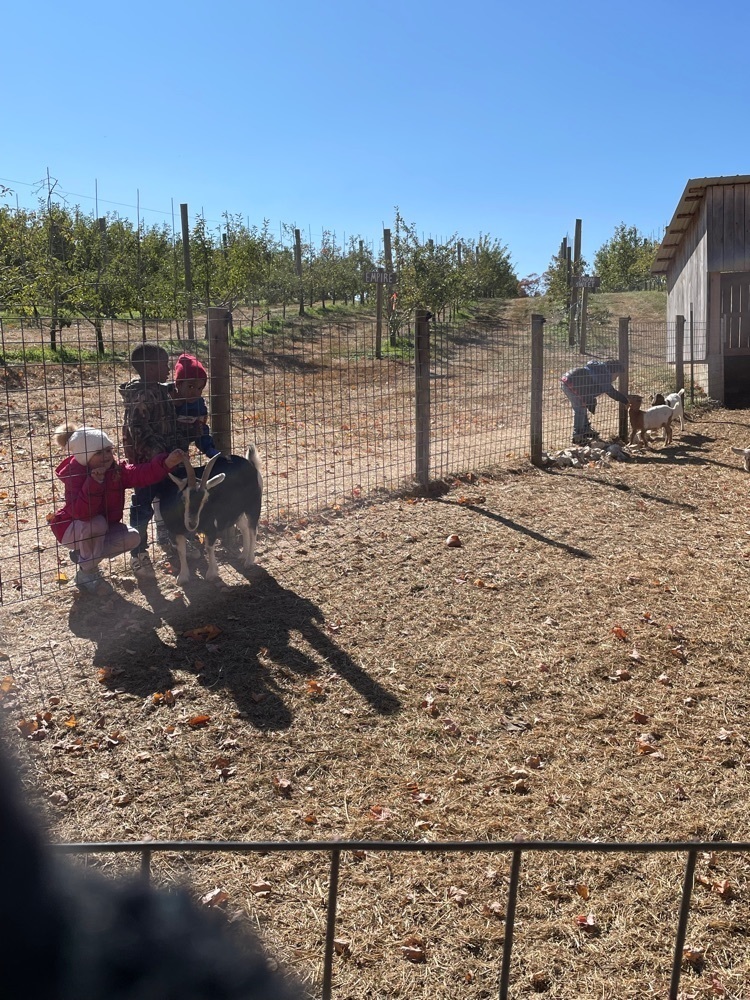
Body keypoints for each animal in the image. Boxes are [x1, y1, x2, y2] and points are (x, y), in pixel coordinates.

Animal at [162, 446, 264, 584]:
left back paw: (249, 561)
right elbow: (181, 551)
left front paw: (212, 573)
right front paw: (183, 576)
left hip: (253, 505)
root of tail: (251, 463)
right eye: (184, 498)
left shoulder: (211, 527)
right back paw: (243, 555)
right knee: (244, 527)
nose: (192, 523)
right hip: (235, 510)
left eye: (206, 499)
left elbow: (209, 547)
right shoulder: (176, 530)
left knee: (253, 529)